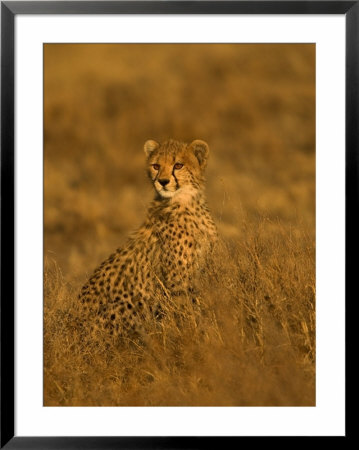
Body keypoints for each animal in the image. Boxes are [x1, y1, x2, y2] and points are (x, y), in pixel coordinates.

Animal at [79, 139, 218, 340]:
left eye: (178, 165)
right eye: (156, 166)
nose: (162, 181)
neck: (186, 203)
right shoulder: (177, 281)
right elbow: (186, 311)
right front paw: (192, 334)